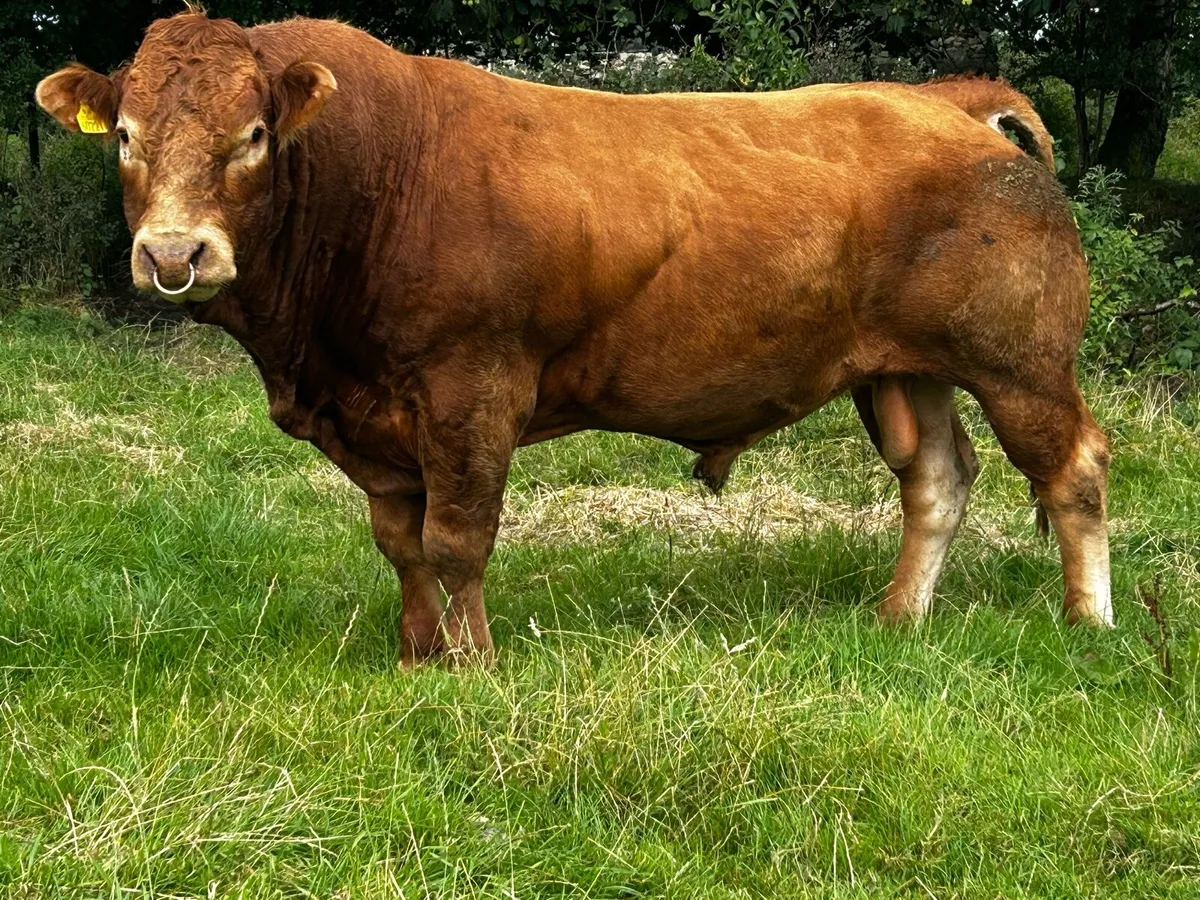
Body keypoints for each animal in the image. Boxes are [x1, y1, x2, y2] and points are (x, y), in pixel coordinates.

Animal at [36, 10, 1112, 665]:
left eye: (252, 136)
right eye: (125, 136)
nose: (173, 254)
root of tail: (942, 96)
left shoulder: (471, 391)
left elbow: (457, 538)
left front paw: (471, 664)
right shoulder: (373, 417)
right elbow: (401, 542)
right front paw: (415, 654)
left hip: (1020, 361)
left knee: (1074, 471)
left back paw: (1088, 623)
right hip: (907, 369)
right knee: (937, 479)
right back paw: (897, 618)